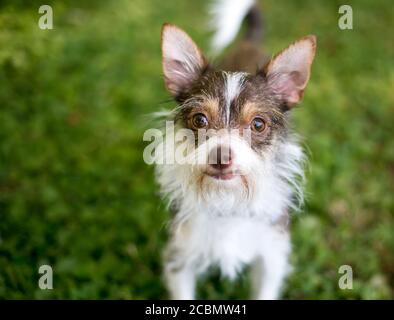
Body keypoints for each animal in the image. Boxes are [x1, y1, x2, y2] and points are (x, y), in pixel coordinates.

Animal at [154, 0, 318, 300]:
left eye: (258, 124)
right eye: (199, 120)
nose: (221, 157)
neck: (228, 201)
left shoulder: (271, 259)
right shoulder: (180, 258)